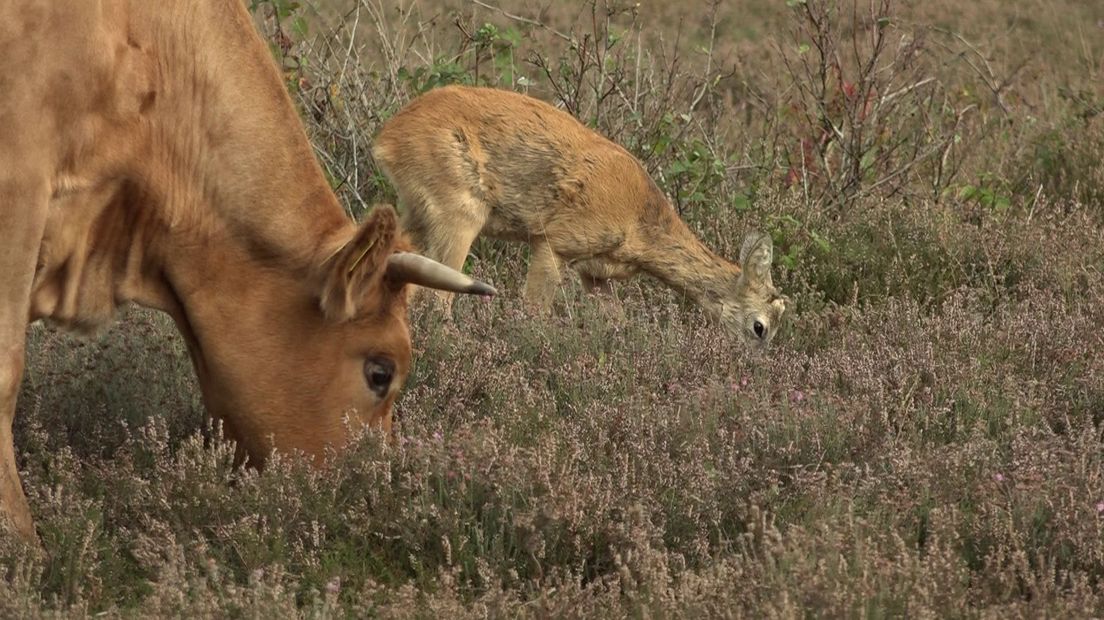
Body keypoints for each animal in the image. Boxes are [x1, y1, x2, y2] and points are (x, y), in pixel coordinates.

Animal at [375, 85, 790, 348]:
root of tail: (386, 138)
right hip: (459, 208)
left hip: (416, 212)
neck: (640, 226)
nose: (752, 366)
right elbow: (534, 311)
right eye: (760, 327)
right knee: (437, 297)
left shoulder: (597, 274)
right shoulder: (555, 241)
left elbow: (619, 322)